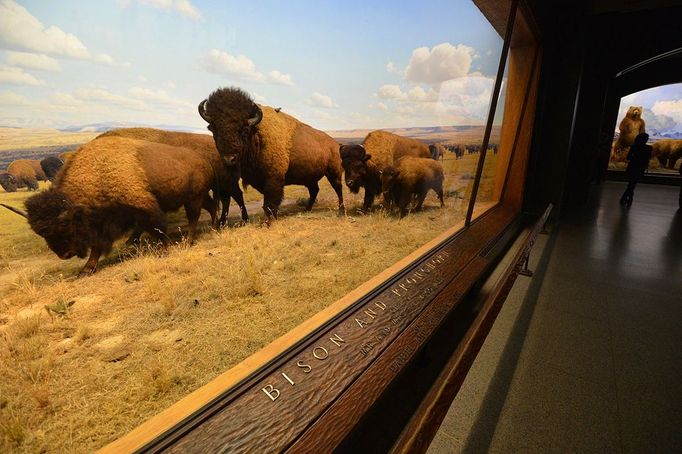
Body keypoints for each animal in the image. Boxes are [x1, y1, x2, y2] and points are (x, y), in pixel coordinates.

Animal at [1, 136, 226, 276]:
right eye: (41, 233)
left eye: (65, 225)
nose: (64, 255)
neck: (98, 172)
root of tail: (204, 160)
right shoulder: (102, 224)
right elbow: (97, 246)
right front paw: (86, 270)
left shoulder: (144, 207)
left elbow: (158, 228)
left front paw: (164, 250)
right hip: (196, 197)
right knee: (210, 207)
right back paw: (214, 227)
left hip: (193, 199)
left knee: (194, 218)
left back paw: (188, 241)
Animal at [97, 127, 248, 225]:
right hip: (222, 186)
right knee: (226, 199)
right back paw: (222, 222)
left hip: (228, 183)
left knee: (237, 196)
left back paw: (243, 219)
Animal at [198, 86, 346, 223]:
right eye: (213, 129)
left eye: (244, 130)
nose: (229, 159)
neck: (256, 133)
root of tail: (334, 144)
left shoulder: (273, 178)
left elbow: (269, 201)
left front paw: (267, 221)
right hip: (310, 177)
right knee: (314, 190)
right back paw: (307, 209)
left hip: (333, 173)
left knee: (338, 189)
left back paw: (341, 210)